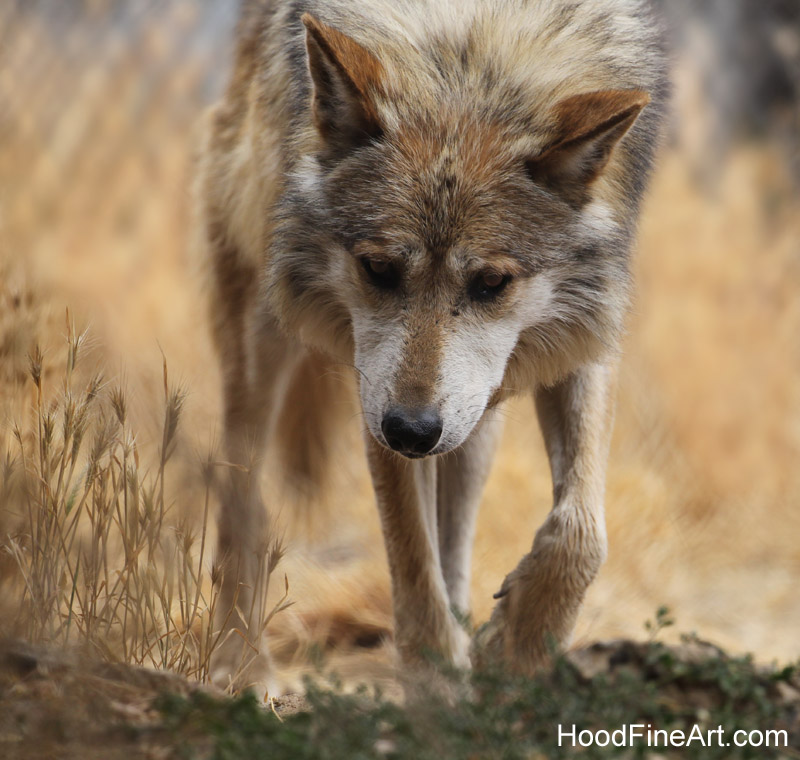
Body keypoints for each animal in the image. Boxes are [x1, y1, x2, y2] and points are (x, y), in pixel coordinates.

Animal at [195, 0, 668, 689]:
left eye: (492, 282)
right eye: (379, 269)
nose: (412, 430)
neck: (470, 57)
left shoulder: (583, 332)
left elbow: (580, 530)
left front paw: (518, 649)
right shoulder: (374, 386)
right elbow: (411, 557)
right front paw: (439, 685)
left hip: (476, 415)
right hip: (265, 324)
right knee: (242, 492)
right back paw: (241, 663)